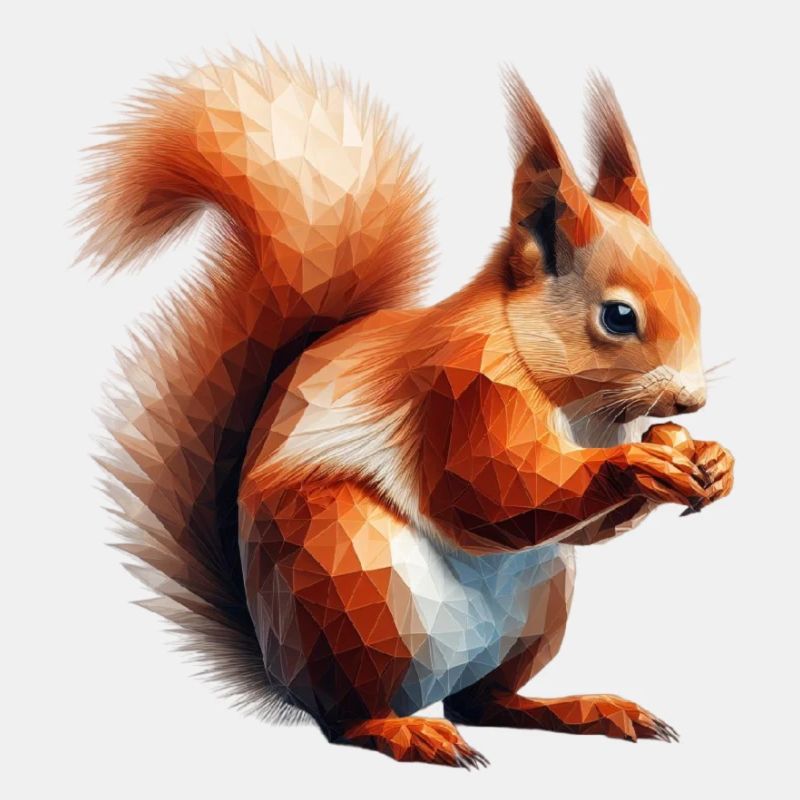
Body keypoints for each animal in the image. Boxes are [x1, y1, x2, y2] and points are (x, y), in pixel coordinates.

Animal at [80, 48, 734, 767]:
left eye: (695, 298)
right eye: (618, 317)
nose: (693, 401)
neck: (574, 397)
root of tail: (279, 667)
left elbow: (578, 528)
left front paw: (711, 460)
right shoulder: (460, 387)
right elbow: (490, 492)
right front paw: (641, 464)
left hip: (541, 604)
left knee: (482, 701)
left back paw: (580, 708)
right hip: (347, 576)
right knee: (349, 717)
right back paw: (404, 730)